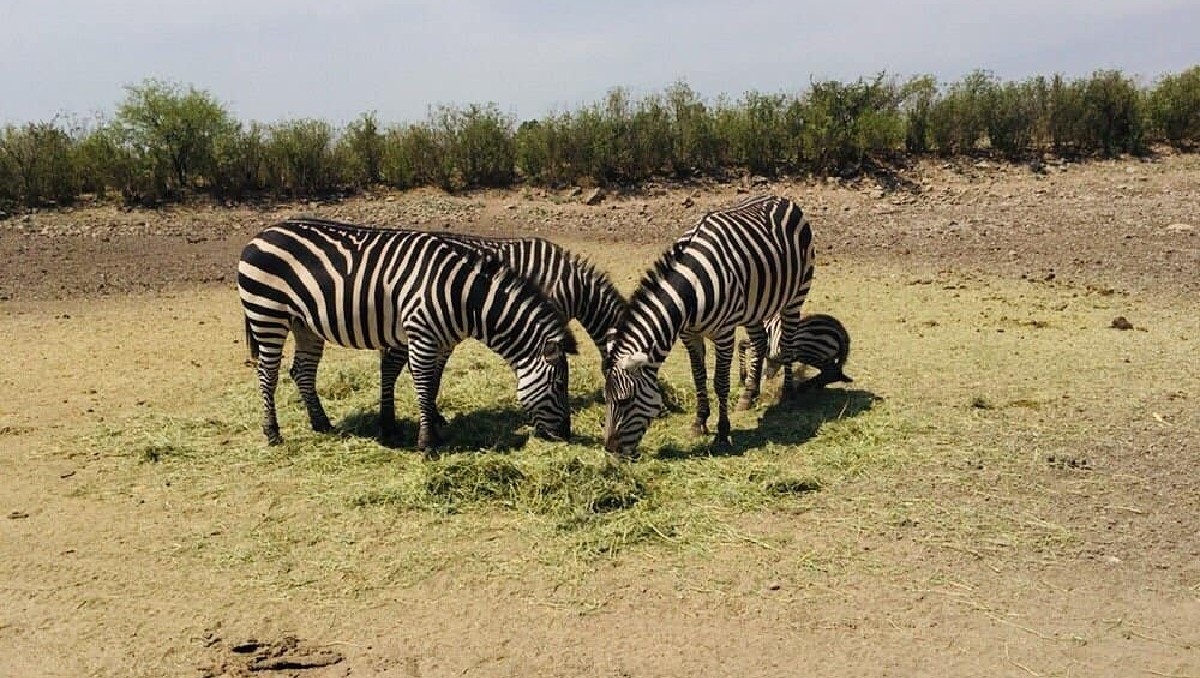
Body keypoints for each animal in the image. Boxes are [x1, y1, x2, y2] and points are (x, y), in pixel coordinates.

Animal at [237, 217, 578, 450]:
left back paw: (322, 424)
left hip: (304, 324)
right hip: (267, 314)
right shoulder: (422, 334)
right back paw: (272, 432)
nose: (566, 434)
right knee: (268, 374)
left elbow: (430, 383)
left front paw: (432, 429)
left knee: (302, 371)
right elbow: (424, 385)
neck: (462, 295)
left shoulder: (438, 339)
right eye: (559, 385)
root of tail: (261, 233)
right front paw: (427, 443)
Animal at [603, 194, 815, 457]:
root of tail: (782, 198)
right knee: (760, 341)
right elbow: (699, 377)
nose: (610, 448)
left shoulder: (724, 334)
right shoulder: (689, 334)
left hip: (796, 295)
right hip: (753, 308)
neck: (690, 292)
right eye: (605, 399)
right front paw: (699, 422)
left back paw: (787, 394)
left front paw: (723, 432)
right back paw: (749, 394)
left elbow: (720, 383)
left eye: (625, 400)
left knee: (786, 344)